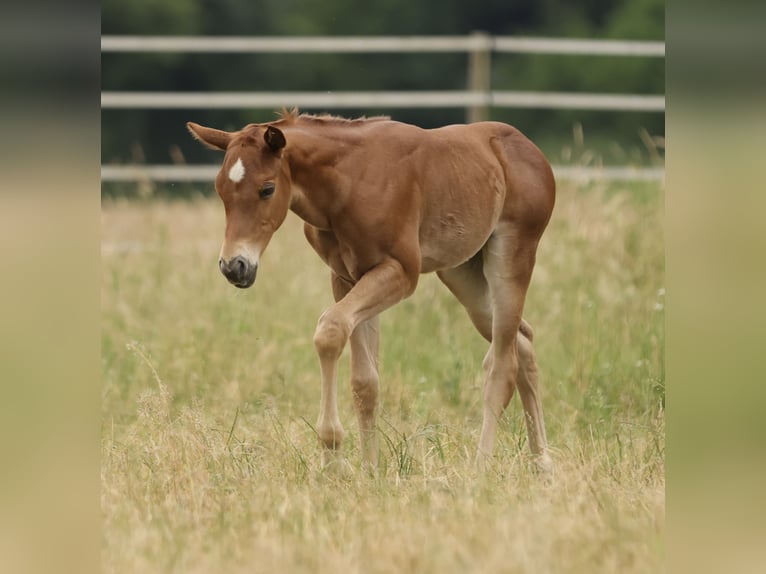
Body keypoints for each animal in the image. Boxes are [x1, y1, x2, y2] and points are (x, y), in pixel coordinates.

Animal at [187, 109, 555, 475]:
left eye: (267, 189)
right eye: (220, 189)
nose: (234, 266)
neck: (347, 184)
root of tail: (532, 151)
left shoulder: (400, 272)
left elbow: (331, 330)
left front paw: (333, 456)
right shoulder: (347, 278)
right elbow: (366, 381)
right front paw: (370, 470)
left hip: (512, 255)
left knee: (502, 364)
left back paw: (481, 467)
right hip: (462, 272)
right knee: (523, 341)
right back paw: (542, 462)